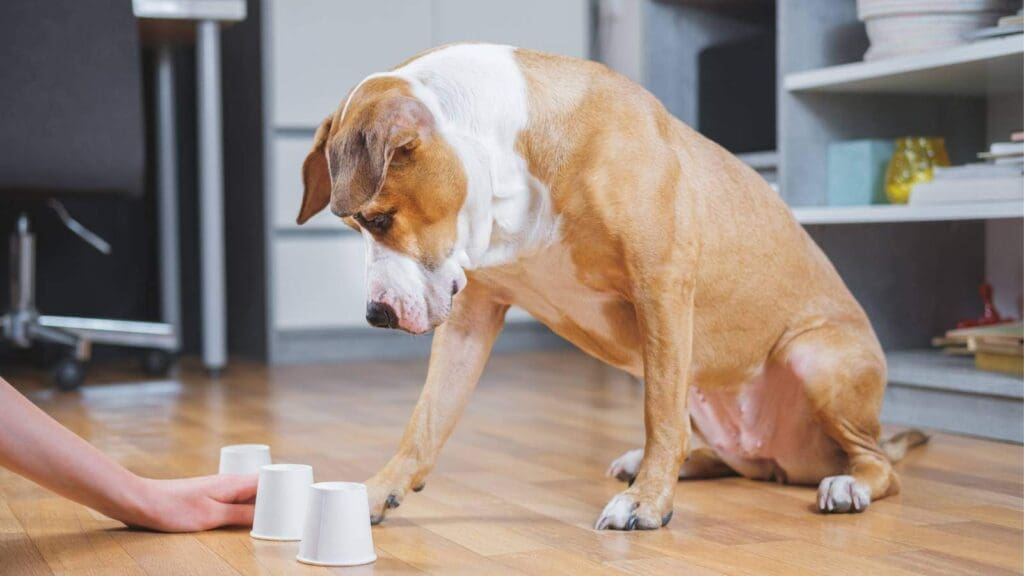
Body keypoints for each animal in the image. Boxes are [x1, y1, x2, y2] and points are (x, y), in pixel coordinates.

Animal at [296, 43, 929, 528]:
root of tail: (788, 459)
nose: (376, 314)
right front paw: (376, 491)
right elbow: (426, 420)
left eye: (380, 219)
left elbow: (658, 414)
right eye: (355, 226)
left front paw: (646, 504)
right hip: (710, 390)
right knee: (728, 455)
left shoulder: (662, 287)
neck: (511, 160)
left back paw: (847, 485)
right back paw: (674, 463)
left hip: (814, 357)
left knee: (876, 462)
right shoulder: (473, 315)